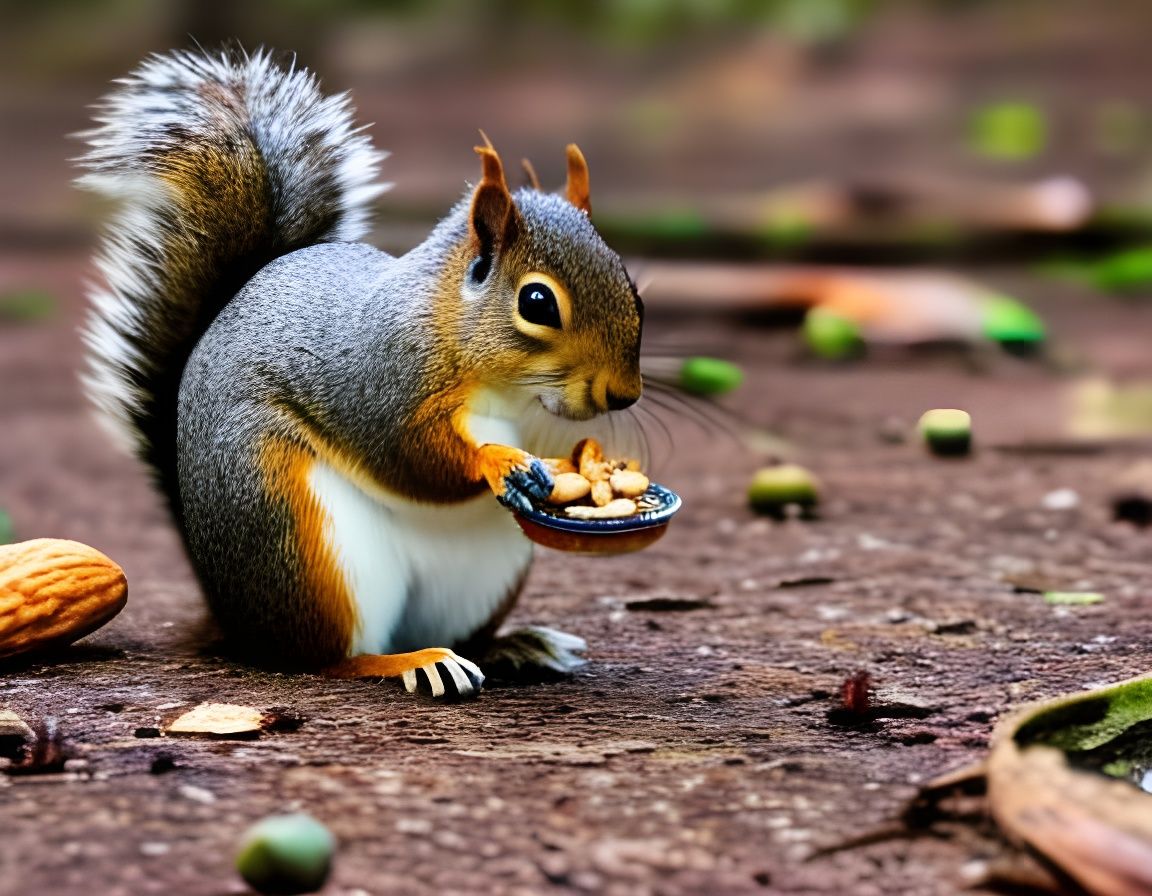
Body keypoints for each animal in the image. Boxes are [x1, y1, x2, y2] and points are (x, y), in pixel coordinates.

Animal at [77, 48, 645, 697]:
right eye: (537, 303)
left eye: (631, 286)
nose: (624, 395)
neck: (506, 389)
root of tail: (229, 609)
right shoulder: (377, 378)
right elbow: (410, 455)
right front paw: (499, 461)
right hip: (301, 539)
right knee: (325, 658)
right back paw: (410, 662)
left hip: (484, 572)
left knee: (458, 631)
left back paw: (513, 645)